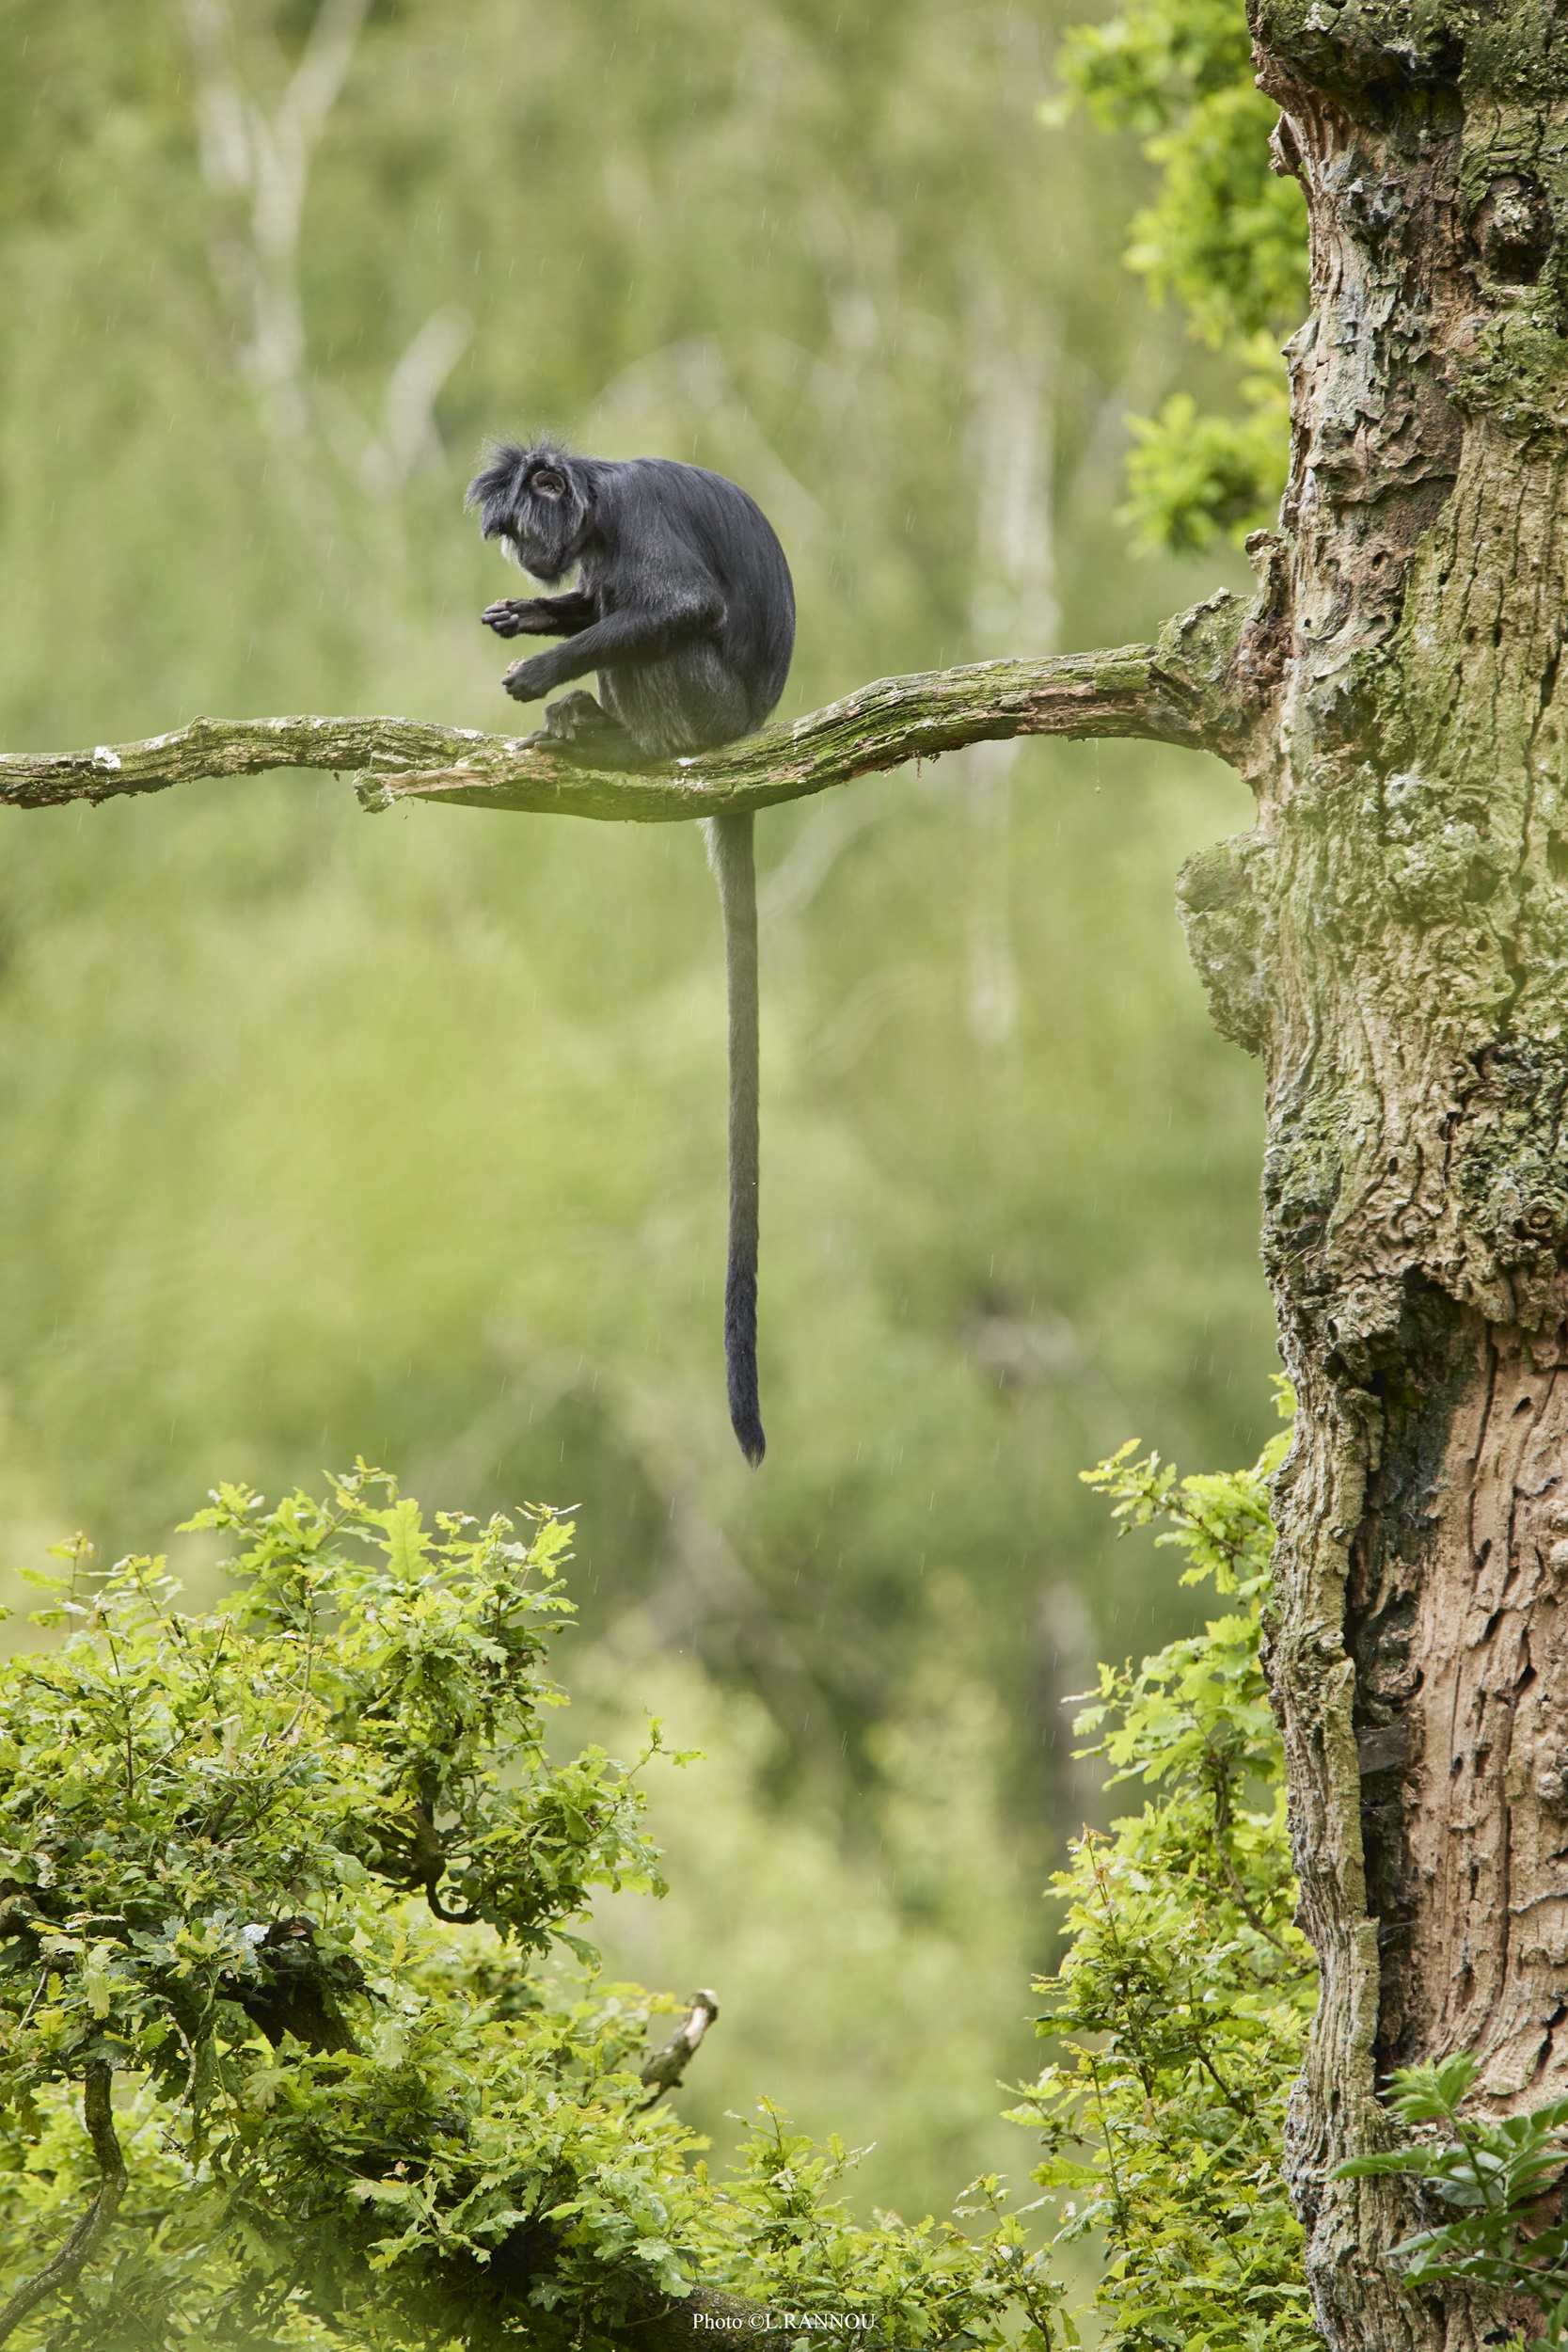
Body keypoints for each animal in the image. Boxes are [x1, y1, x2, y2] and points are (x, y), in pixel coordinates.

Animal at [460, 442, 789, 1458]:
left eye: (520, 526)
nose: (521, 562)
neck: (600, 499)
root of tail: (749, 734)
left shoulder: (638, 519)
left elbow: (682, 605)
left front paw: (542, 661)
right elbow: (600, 599)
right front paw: (534, 616)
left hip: (704, 710)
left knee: (657, 634)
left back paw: (620, 742)